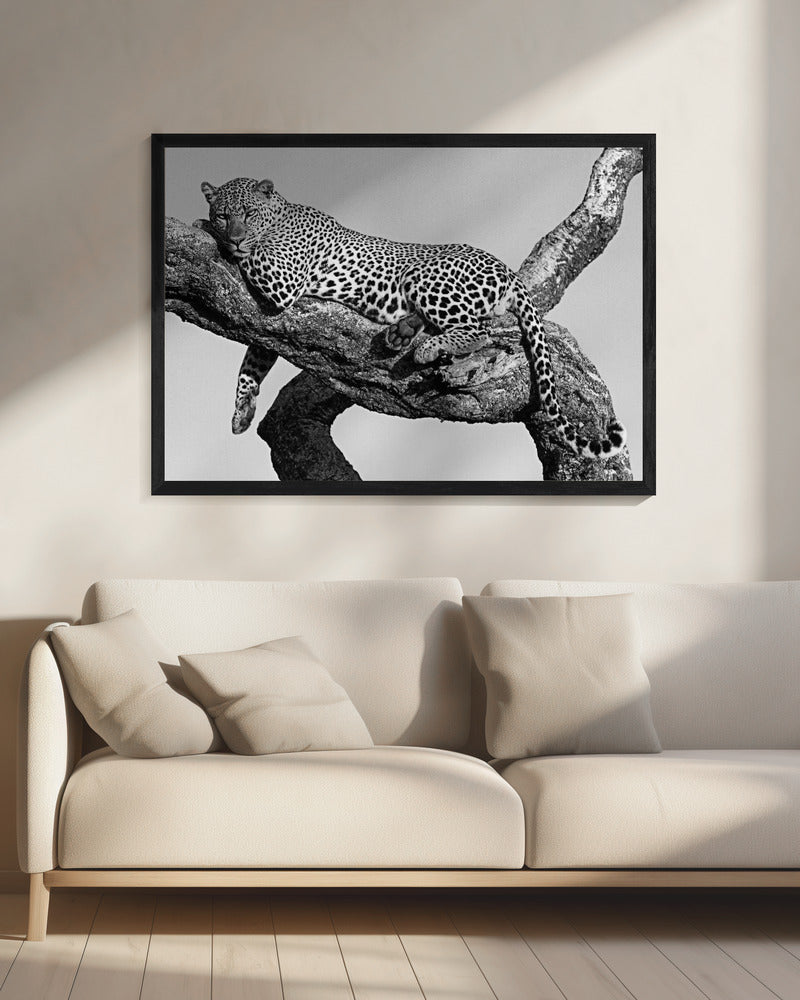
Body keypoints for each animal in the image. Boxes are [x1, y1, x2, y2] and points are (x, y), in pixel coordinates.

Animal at [200, 176, 626, 459]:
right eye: (223, 214)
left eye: (248, 213)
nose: (233, 237)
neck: (280, 214)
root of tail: (507, 270)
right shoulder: (269, 320)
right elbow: (253, 360)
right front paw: (242, 410)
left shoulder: (283, 280)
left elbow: (254, 257)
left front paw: (202, 228)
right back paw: (402, 333)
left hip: (424, 275)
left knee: (478, 330)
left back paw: (426, 348)